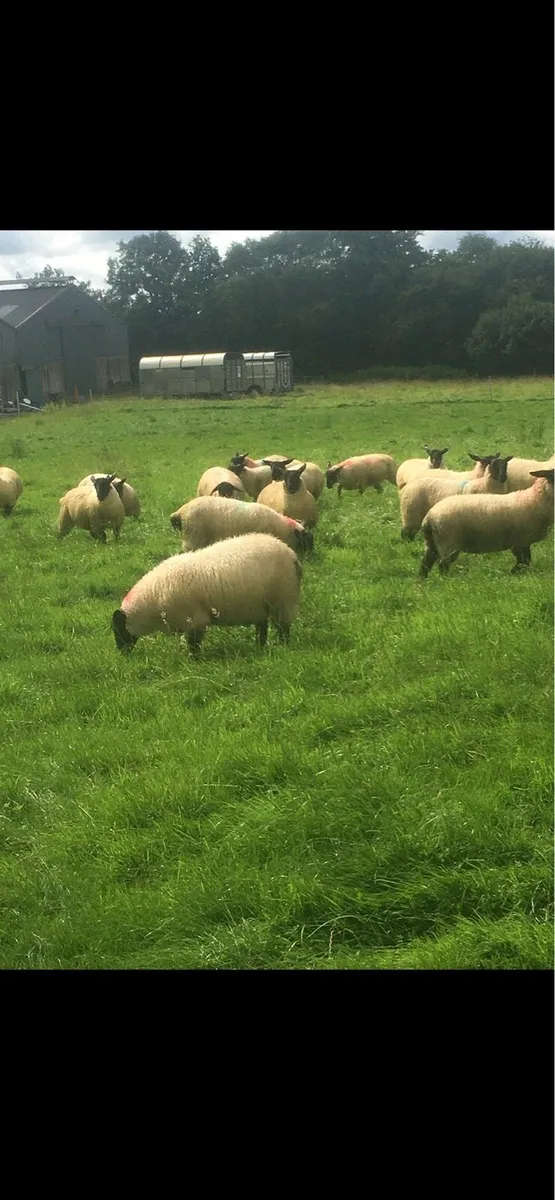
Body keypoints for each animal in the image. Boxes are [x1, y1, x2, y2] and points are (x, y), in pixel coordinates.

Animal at [112, 532, 302, 653]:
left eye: (118, 629)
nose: (122, 653)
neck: (153, 599)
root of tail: (292, 555)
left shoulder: (195, 619)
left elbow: (193, 644)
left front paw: (194, 660)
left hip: (283, 599)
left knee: (283, 627)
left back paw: (282, 646)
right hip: (261, 605)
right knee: (262, 627)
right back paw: (260, 646)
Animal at [419, 468, 554, 577]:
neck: (534, 500)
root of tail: (429, 516)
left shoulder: (519, 541)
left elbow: (524, 561)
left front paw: (514, 572)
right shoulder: (521, 540)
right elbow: (524, 561)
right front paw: (515, 572)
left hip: (432, 542)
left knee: (426, 563)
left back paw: (423, 581)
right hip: (449, 542)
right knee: (443, 564)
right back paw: (446, 580)